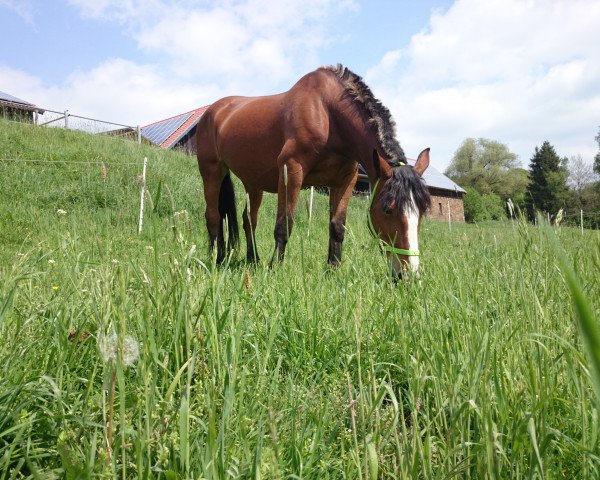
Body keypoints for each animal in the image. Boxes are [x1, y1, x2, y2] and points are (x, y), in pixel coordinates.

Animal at [197, 63, 432, 278]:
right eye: (387, 209)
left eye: (422, 211)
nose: (409, 275)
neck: (327, 113)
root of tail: (212, 111)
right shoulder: (291, 170)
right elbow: (284, 224)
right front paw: (275, 269)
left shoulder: (346, 180)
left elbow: (337, 227)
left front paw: (333, 270)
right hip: (212, 171)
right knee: (213, 216)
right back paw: (218, 259)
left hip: (253, 183)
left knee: (248, 220)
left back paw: (253, 260)